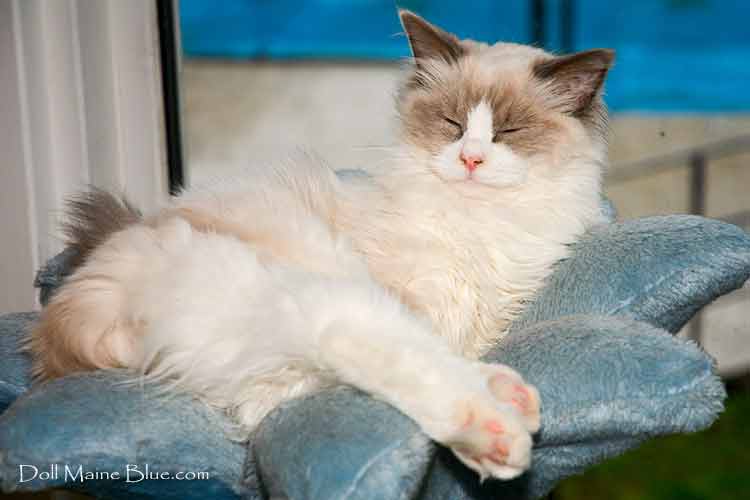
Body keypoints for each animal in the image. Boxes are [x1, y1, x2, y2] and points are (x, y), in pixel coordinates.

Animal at [27, 10, 614, 481]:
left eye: (509, 131)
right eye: (452, 124)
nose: (471, 159)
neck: (479, 226)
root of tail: (76, 306)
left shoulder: (480, 317)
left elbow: (453, 346)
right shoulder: (410, 297)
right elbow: (425, 346)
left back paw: (512, 396)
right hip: (326, 300)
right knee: (381, 358)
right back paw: (498, 435)